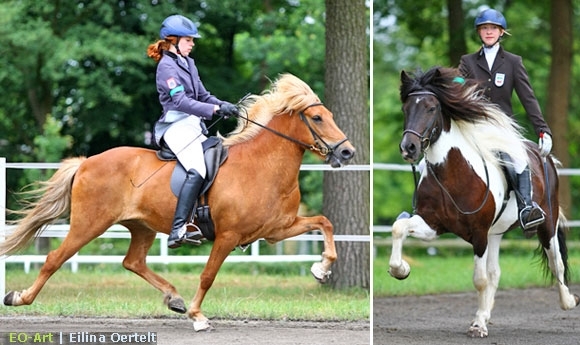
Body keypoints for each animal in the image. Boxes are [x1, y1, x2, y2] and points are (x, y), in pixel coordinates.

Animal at [0, 74, 356, 330]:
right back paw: (19, 297)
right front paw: (198, 317)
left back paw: (174, 298)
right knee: (54, 259)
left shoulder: (275, 230)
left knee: (132, 262)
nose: (347, 152)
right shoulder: (228, 236)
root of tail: (87, 162)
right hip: (89, 224)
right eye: (317, 118)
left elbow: (324, 222)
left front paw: (321, 269)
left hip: (140, 226)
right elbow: (208, 275)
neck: (262, 165)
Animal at [388, 66, 576, 336]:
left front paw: (477, 326)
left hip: (546, 222)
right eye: (405, 109)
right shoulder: (433, 225)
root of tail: (543, 156)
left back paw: (568, 302)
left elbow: (479, 279)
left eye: (431, 108)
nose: (408, 148)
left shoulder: (478, 233)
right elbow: (398, 227)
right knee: (496, 272)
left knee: (556, 263)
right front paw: (401, 270)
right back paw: (486, 314)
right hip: (495, 232)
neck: (452, 174)